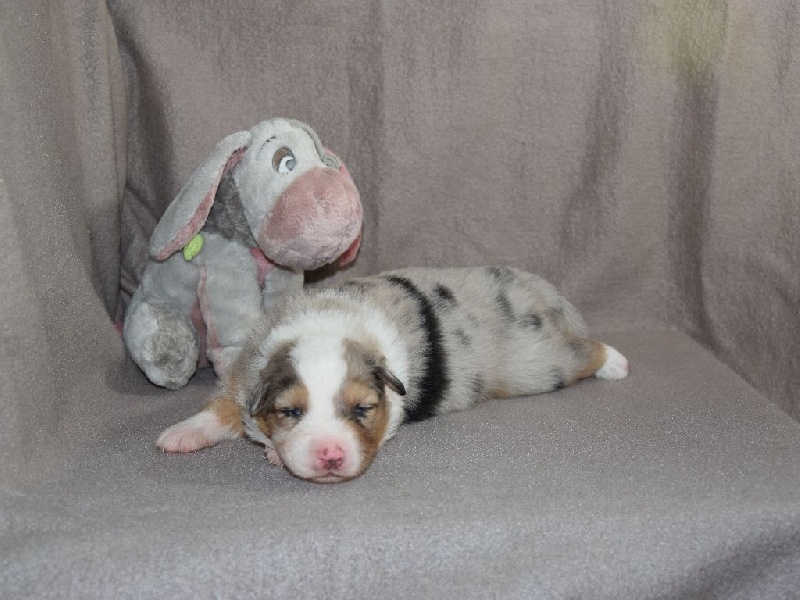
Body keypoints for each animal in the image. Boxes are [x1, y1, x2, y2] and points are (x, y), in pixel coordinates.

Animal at [157, 267, 628, 483]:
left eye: (362, 409)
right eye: (291, 412)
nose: (330, 455)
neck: (325, 323)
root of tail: (531, 287)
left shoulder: (392, 404)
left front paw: (273, 453)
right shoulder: (245, 372)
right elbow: (220, 407)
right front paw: (180, 434)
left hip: (536, 364)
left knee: (582, 351)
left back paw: (616, 362)